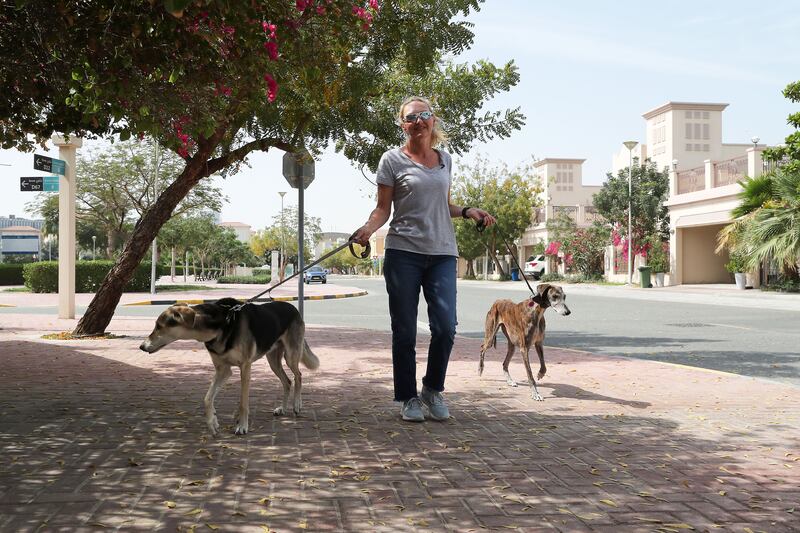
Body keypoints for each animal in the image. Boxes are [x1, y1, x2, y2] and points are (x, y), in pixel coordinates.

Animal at [141, 298, 318, 434]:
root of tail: (293, 308)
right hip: (273, 360)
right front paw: (212, 421)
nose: (142, 346)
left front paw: (242, 426)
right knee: (287, 381)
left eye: (159, 326)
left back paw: (297, 405)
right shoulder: (223, 370)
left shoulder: (245, 368)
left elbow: (243, 403)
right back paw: (282, 408)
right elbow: (207, 398)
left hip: (291, 356)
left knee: (298, 375)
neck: (221, 325)